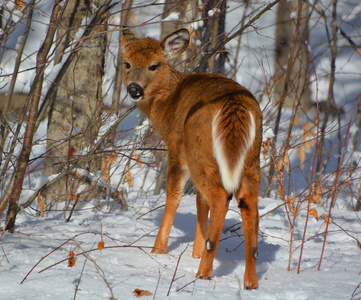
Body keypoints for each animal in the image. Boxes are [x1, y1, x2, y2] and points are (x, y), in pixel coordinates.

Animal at [121, 28, 262, 290]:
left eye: (154, 65)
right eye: (127, 63)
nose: (134, 89)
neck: (168, 105)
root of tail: (235, 106)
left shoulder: (176, 150)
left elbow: (174, 196)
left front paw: (158, 250)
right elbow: (199, 201)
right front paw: (195, 252)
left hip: (200, 153)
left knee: (220, 197)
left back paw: (203, 272)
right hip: (250, 160)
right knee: (247, 202)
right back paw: (250, 281)